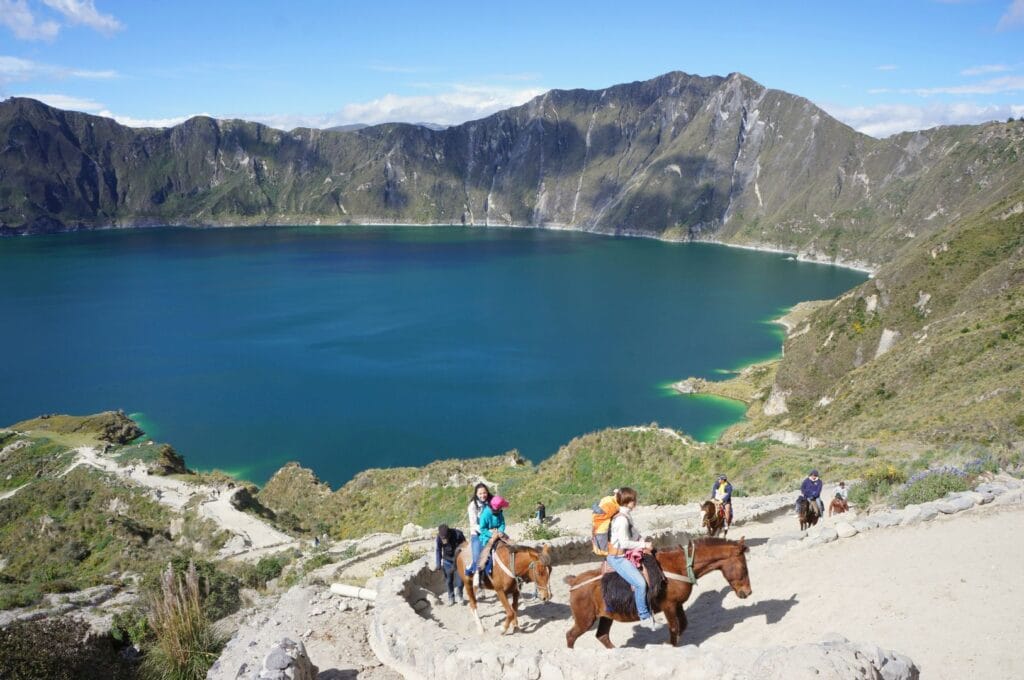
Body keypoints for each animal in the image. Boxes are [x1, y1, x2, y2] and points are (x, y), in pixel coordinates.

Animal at [565, 536, 749, 647]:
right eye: (744, 567)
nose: (748, 592)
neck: (679, 566)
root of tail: (574, 581)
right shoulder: (669, 606)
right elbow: (674, 628)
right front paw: (671, 646)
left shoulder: (677, 605)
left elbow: (683, 625)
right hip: (585, 620)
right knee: (571, 636)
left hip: (605, 616)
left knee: (602, 636)